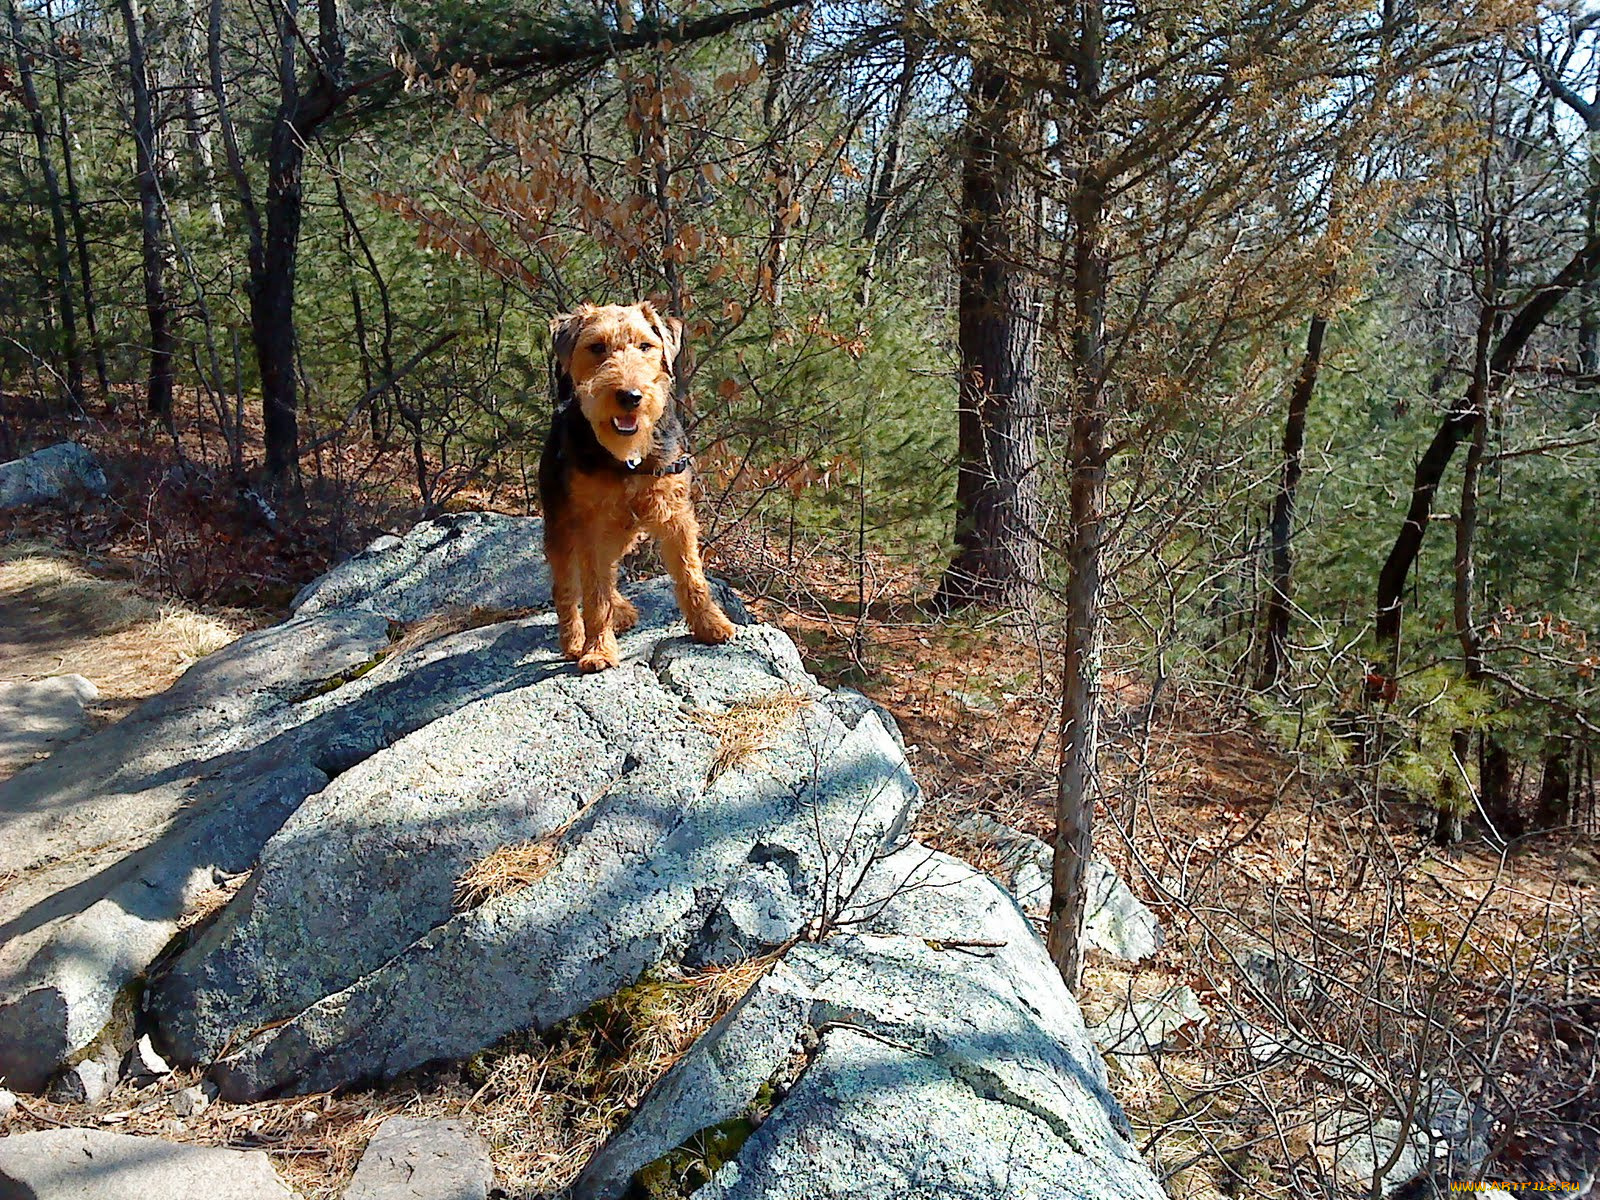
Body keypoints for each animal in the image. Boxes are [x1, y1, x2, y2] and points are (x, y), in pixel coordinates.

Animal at [537, 300, 736, 672]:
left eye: (646, 346)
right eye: (596, 347)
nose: (630, 396)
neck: (627, 458)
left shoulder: (676, 515)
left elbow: (691, 576)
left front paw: (711, 625)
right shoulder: (589, 524)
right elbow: (594, 596)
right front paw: (598, 650)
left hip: (621, 532)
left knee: (606, 573)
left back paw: (621, 611)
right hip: (563, 528)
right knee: (568, 587)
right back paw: (574, 641)